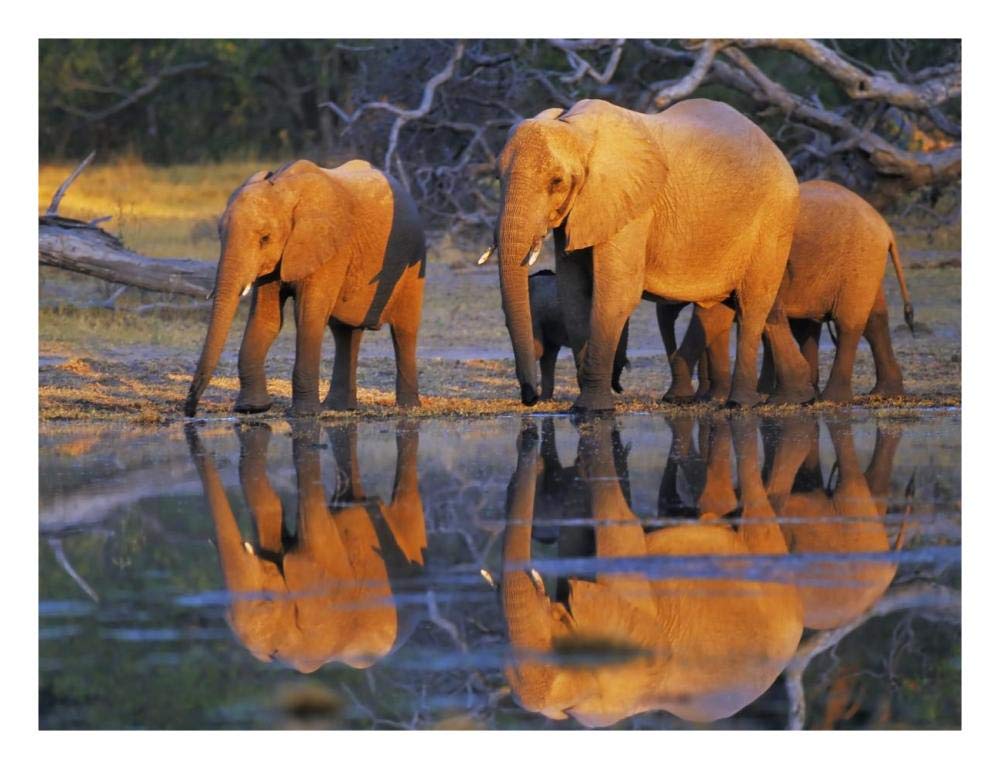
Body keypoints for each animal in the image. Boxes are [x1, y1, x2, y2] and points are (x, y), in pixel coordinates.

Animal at [184, 158, 426, 417]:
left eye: (265, 239)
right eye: (220, 235)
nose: (190, 410)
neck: (283, 187)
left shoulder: (328, 249)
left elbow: (307, 316)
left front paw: (304, 414)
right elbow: (266, 319)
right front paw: (252, 409)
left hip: (413, 260)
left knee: (404, 330)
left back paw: (408, 407)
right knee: (345, 332)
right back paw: (339, 407)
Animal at [663, 180, 916, 403]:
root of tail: (886, 228)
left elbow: (716, 316)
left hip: (860, 262)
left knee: (848, 324)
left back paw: (832, 398)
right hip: (866, 267)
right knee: (872, 320)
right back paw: (882, 393)